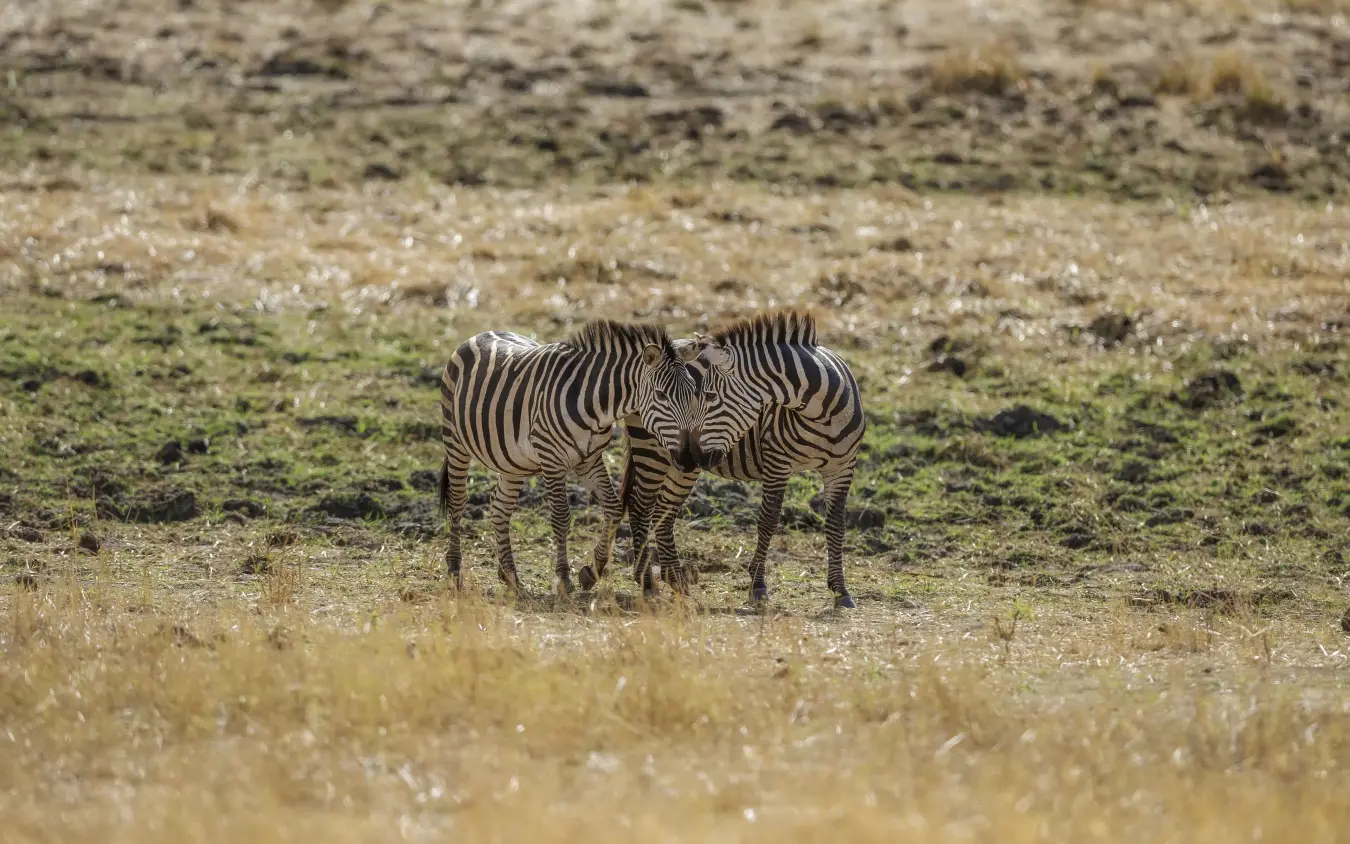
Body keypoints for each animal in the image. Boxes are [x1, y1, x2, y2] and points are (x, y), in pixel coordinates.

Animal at [436, 320, 703, 596]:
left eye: (695, 393)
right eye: (661, 395)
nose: (688, 459)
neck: (594, 405)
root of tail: (482, 333)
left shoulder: (590, 459)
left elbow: (614, 509)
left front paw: (593, 570)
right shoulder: (551, 459)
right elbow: (561, 517)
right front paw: (564, 579)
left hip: (514, 461)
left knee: (500, 507)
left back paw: (511, 578)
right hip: (455, 442)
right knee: (457, 501)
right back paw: (454, 571)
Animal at [619, 311, 865, 608]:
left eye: (709, 395)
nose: (696, 454)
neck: (822, 414)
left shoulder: (843, 468)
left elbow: (837, 525)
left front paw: (841, 590)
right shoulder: (777, 464)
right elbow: (768, 521)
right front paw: (758, 586)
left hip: (679, 464)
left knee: (663, 511)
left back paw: (675, 579)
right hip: (654, 450)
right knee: (641, 506)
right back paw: (646, 581)